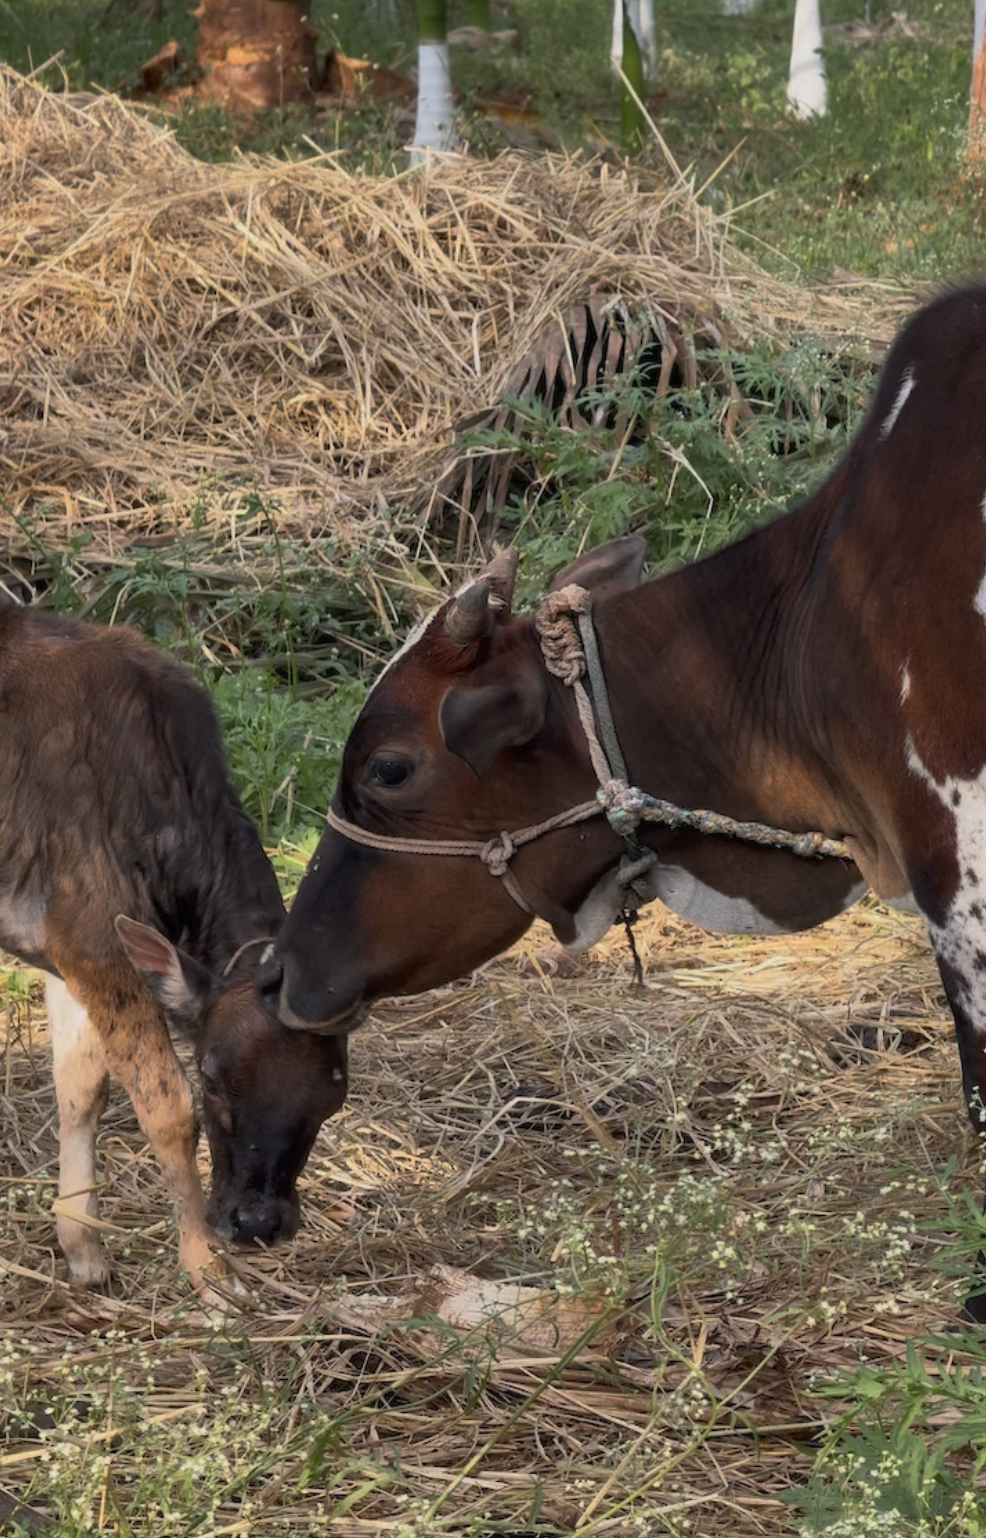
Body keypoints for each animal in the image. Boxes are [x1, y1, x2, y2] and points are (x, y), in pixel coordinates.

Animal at [0, 598, 346, 1300]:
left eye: (336, 1092)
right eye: (211, 1074)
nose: (255, 1223)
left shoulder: (71, 952)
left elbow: (82, 1088)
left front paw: (83, 1248)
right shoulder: (96, 939)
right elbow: (164, 1107)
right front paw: (205, 1269)